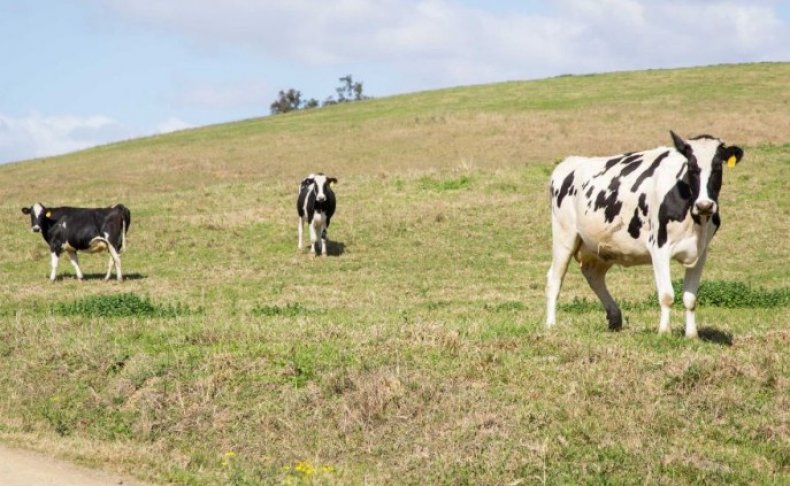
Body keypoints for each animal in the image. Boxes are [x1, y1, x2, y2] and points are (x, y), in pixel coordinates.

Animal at [548, 133, 744, 338]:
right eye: (691, 167)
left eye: (718, 167)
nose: (704, 205)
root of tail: (569, 162)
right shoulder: (659, 247)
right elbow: (666, 295)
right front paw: (664, 332)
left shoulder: (700, 252)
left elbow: (690, 298)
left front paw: (692, 335)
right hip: (564, 237)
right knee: (555, 278)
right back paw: (551, 324)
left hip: (602, 247)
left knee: (594, 275)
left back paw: (615, 317)